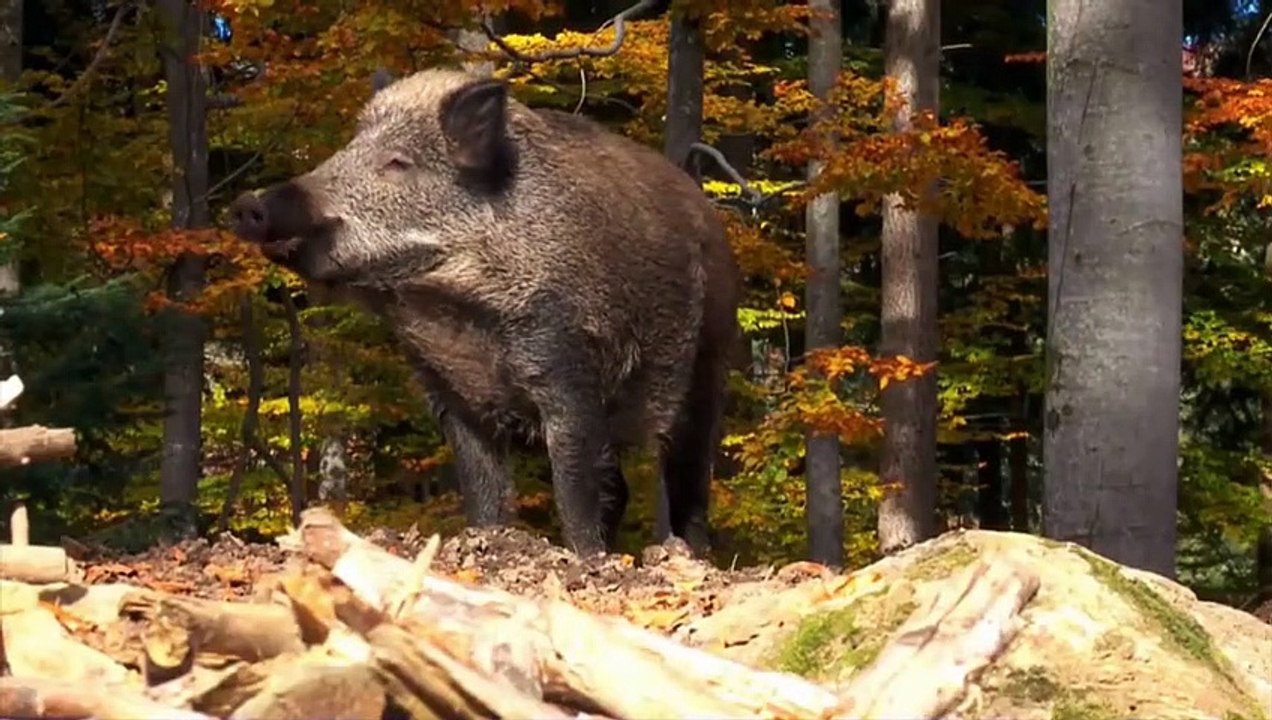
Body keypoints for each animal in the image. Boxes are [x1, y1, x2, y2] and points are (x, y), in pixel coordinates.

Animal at [227, 68, 742, 557]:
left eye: (398, 163)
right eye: (349, 147)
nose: (248, 204)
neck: (452, 308)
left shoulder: (566, 364)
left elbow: (573, 485)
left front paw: (584, 558)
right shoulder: (449, 392)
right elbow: (482, 489)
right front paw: (489, 538)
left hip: (707, 363)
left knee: (689, 476)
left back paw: (691, 554)